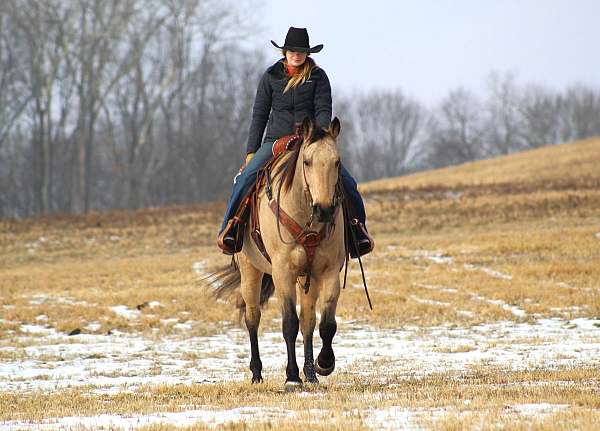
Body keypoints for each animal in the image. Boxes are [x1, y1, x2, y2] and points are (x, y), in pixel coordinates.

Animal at [207, 116, 344, 390]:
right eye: (307, 161)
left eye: (337, 162)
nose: (324, 209)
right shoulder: (283, 272)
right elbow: (289, 323)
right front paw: (291, 377)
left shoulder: (330, 270)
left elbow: (325, 324)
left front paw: (323, 364)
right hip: (251, 271)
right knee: (252, 316)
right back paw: (257, 373)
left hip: (307, 277)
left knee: (308, 321)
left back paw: (310, 374)